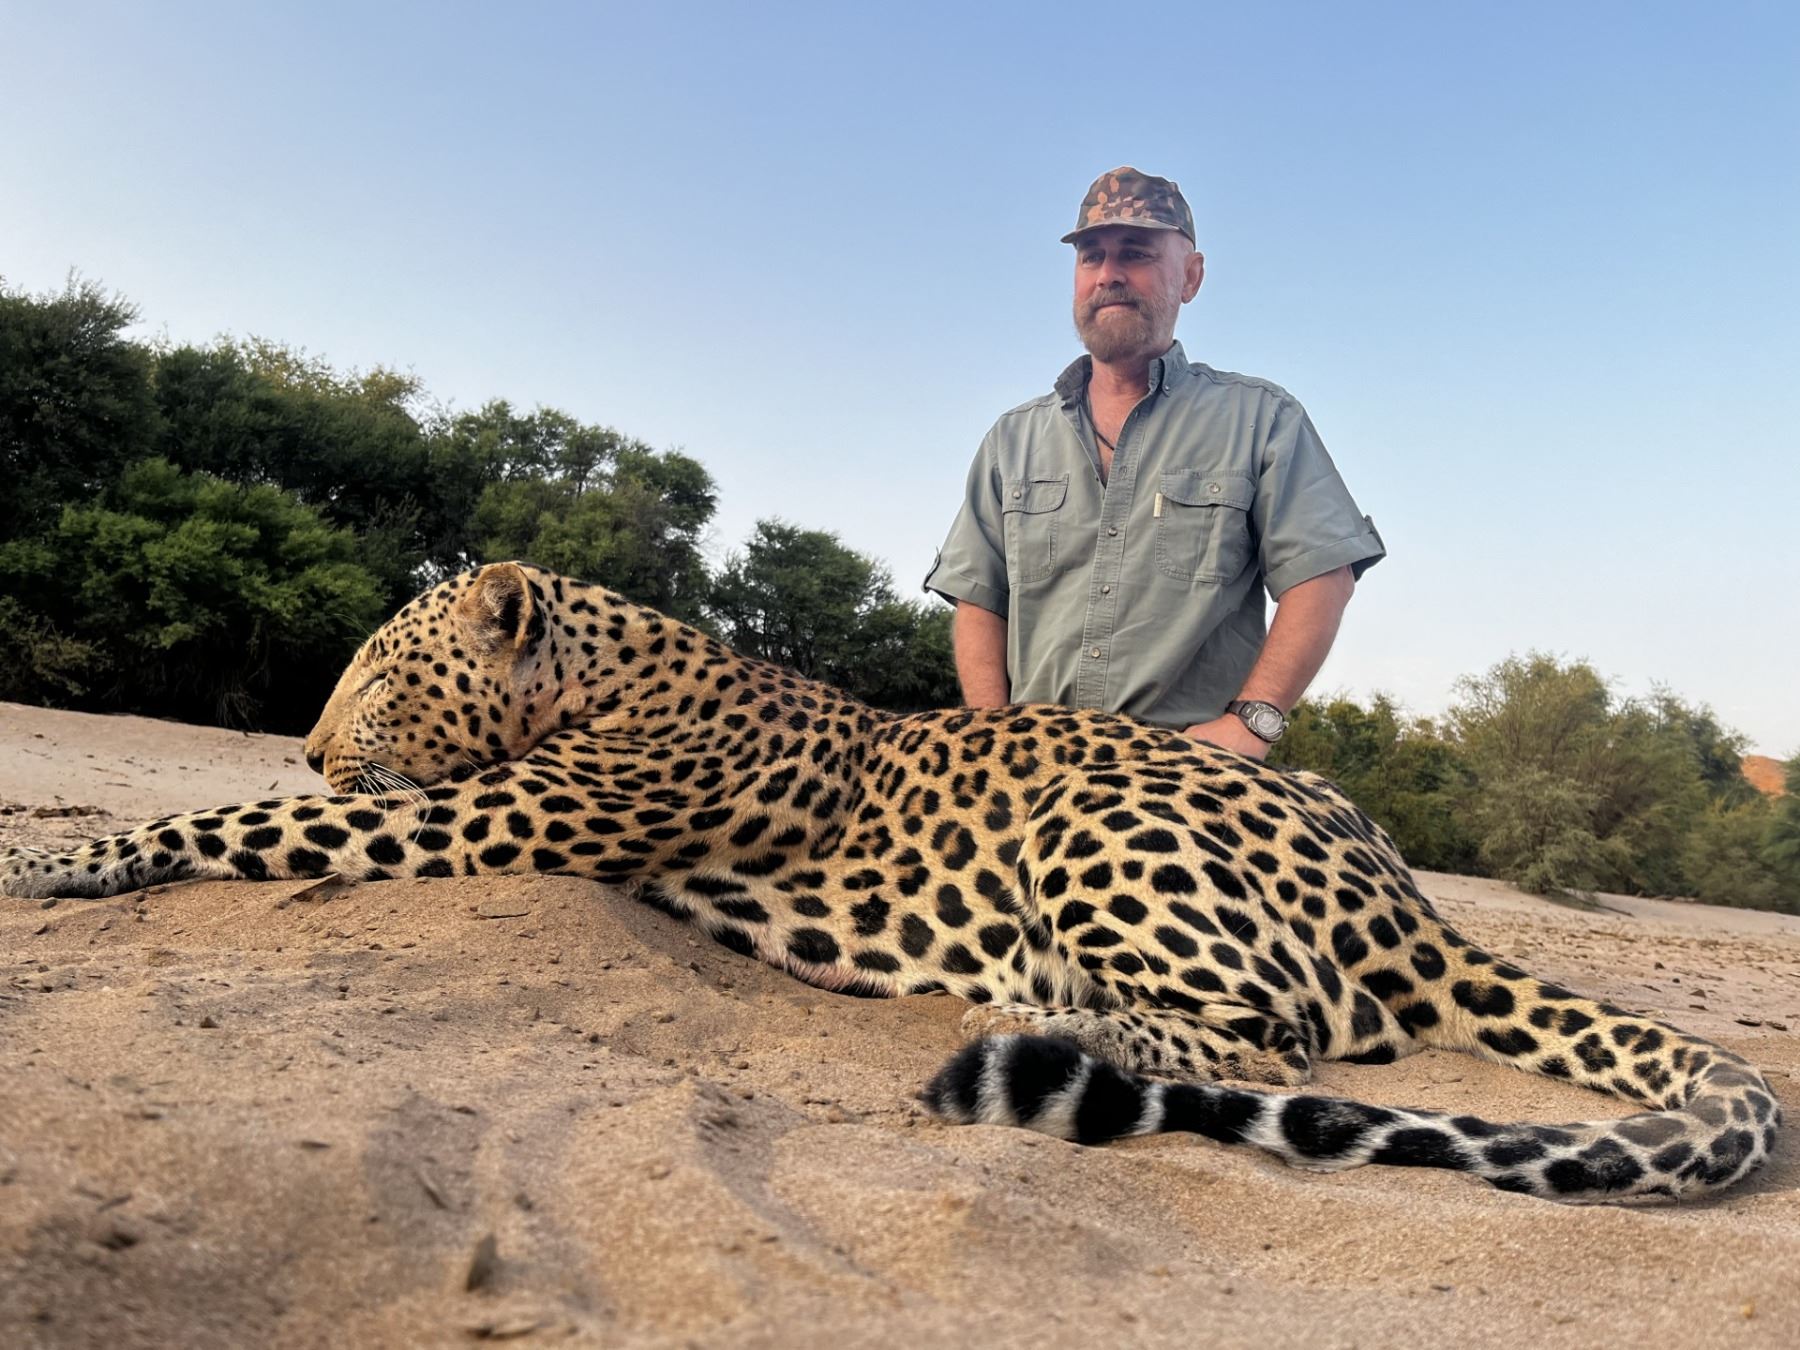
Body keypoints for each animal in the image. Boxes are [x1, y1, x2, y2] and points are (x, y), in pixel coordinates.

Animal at [2, 562, 1781, 1202]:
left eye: (377, 675)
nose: (313, 745)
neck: (606, 663)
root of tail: (1409, 893)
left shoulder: (468, 823)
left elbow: (221, 823)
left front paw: (47, 852)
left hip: (1102, 822)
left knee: (1270, 1038)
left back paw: (1062, 1035)